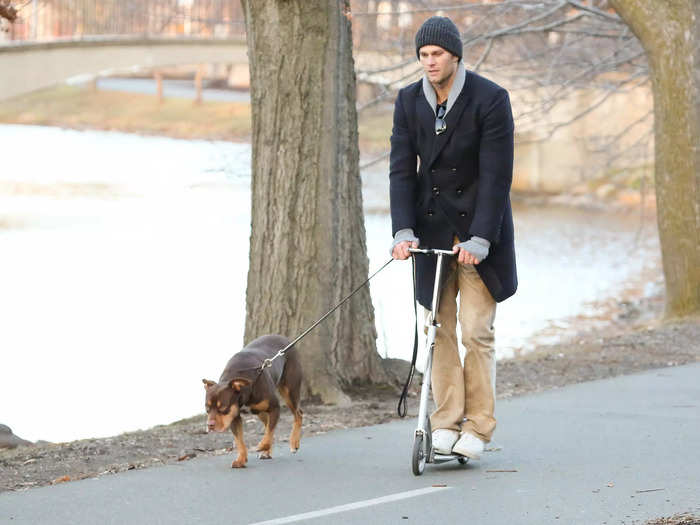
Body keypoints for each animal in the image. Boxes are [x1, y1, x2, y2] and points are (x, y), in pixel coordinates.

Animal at [201, 334, 302, 464]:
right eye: (207, 410)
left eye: (223, 409)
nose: (210, 425)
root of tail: (285, 339)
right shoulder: (233, 417)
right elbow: (239, 440)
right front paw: (241, 459)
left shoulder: (275, 407)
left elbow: (269, 431)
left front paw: (262, 446)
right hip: (259, 411)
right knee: (268, 423)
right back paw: (267, 452)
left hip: (289, 392)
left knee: (298, 414)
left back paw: (294, 443)